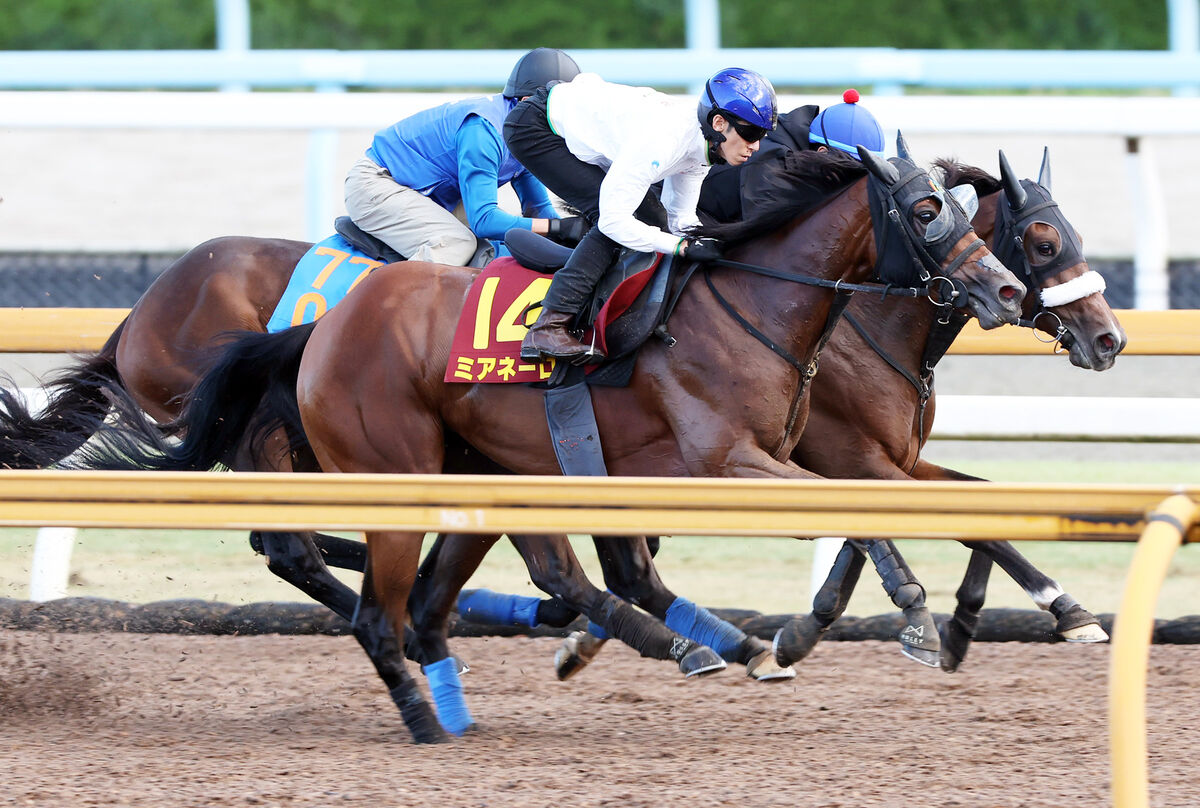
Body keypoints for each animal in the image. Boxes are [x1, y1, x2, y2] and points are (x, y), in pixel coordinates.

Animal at [42, 148, 1027, 739]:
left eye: (971, 214)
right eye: (928, 210)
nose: (1010, 291)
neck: (756, 300)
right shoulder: (734, 460)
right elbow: (855, 517)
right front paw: (910, 616)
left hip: (474, 467)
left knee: (438, 579)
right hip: (360, 459)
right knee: (314, 555)